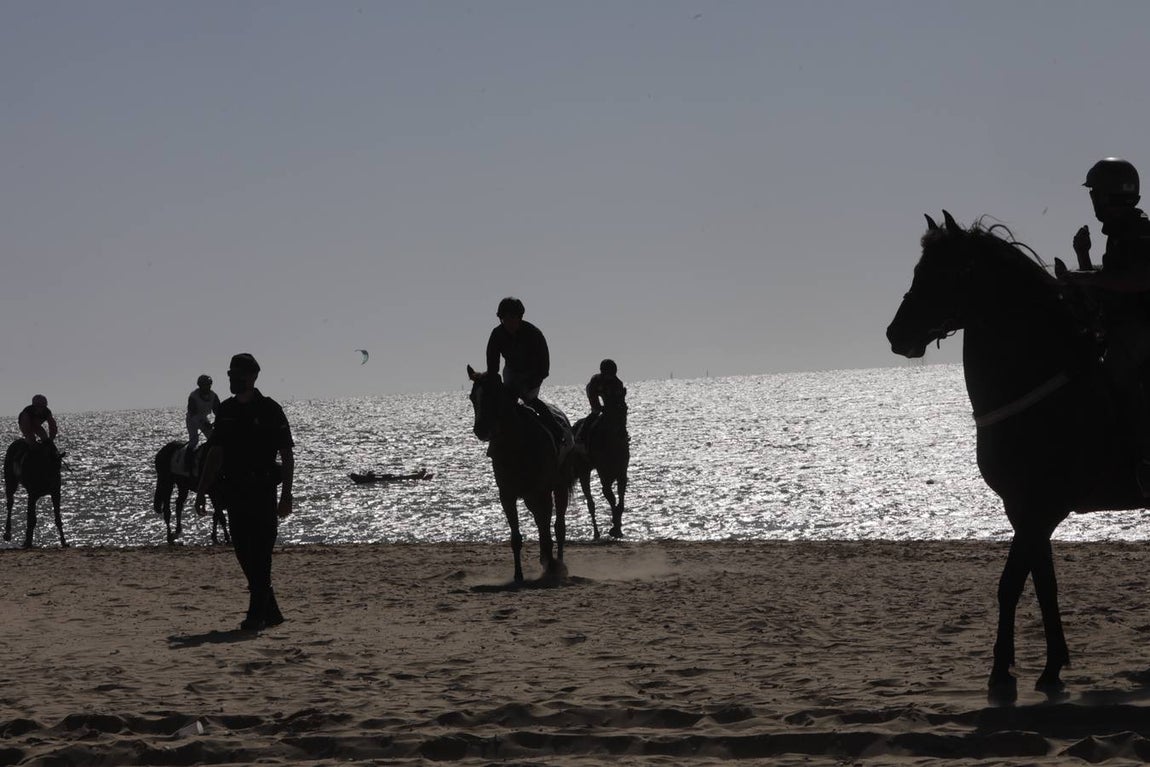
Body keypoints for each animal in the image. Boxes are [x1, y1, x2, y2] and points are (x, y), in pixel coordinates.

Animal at [467, 365, 572, 583]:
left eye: (492, 395)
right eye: (473, 397)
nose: (480, 429)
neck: (516, 444)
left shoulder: (542, 491)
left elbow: (547, 529)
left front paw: (552, 566)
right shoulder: (507, 495)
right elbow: (516, 538)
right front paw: (518, 575)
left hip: (558, 487)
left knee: (558, 526)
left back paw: (557, 564)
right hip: (531, 497)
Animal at [572, 405, 630, 539]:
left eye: (625, 409)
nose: (623, 433)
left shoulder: (622, 474)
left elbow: (620, 501)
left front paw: (617, 528)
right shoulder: (604, 475)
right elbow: (611, 497)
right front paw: (615, 528)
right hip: (583, 471)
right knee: (590, 503)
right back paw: (596, 533)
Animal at [886, 209, 1149, 702]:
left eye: (949, 271)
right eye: (918, 269)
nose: (897, 334)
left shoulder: (1044, 507)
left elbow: (1010, 584)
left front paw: (1001, 673)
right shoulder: (1023, 509)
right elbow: (1043, 584)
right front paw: (1050, 667)